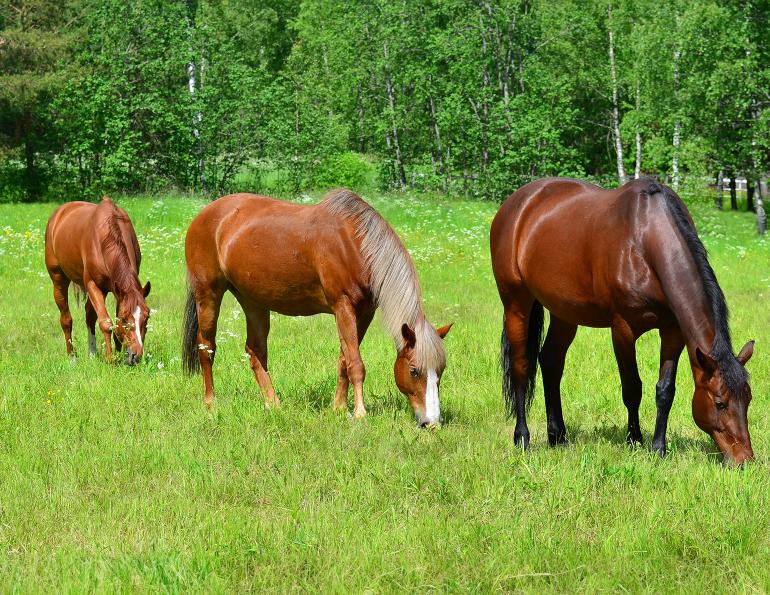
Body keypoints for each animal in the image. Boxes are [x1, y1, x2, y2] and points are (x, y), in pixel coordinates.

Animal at [44, 196, 151, 365]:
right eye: (124, 318)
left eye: (147, 317)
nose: (136, 356)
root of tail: (58, 214)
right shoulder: (93, 285)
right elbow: (106, 323)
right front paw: (110, 358)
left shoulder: (117, 290)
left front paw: (119, 354)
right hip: (58, 279)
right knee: (66, 319)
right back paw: (72, 357)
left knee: (89, 316)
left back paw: (92, 353)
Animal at [181, 188, 452, 425]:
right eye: (414, 370)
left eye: (441, 370)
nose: (431, 423)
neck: (354, 245)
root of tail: (205, 215)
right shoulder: (343, 306)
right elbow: (356, 364)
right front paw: (360, 413)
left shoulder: (365, 312)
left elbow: (344, 360)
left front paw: (339, 408)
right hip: (208, 294)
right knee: (206, 348)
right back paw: (211, 404)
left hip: (253, 301)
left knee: (255, 350)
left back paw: (273, 404)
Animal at [490, 177, 755, 465]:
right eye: (720, 403)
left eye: (748, 399)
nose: (745, 459)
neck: (645, 240)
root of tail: (518, 203)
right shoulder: (622, 330)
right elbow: (632, 388)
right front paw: (634, 440)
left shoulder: (673, 331)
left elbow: (665, 390)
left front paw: (658, 448)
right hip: (516, 303)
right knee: (521, 366)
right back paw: (522, 437)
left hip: (564, 312)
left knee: (551, 361)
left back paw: (558, 436)